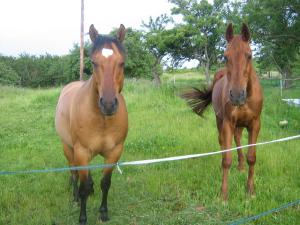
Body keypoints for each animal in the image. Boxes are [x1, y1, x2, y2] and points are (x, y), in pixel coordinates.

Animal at [55, 23, 127, 224]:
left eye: (122, 63)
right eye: (94, 63)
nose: (108, 104)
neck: (102, 120)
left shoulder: (114, 152)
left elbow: (105, 182)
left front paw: (103, 212)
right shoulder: (82, 152)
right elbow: (83, 186)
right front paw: (82, 217)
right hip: (68, 148)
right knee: (73, 173)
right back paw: (75, 198)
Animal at [183, 23, 262, 200]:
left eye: (249, 55)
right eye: (226, 57)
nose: (237, 95)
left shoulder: (255, 124)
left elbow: (252, 157)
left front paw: (250, 191)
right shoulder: (227, 123)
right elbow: (226, 159)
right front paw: (223, 195)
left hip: (240, 124)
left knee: (237, 140)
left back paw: (241, 166)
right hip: (220, 120)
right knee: (223, 142)